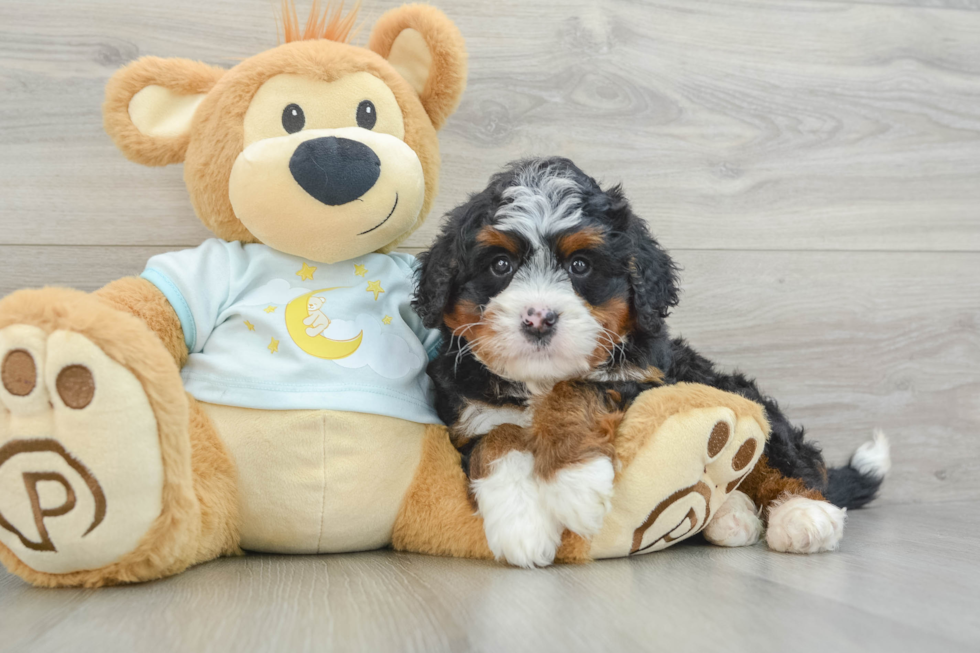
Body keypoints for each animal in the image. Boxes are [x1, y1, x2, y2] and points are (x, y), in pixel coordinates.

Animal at [414, 157, 888, 564]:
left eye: (581, 265)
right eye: (500, 265)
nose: (538, 318)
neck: (539, 382)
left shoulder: (648, 380)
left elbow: (578, 387)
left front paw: (575, 482)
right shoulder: (467, 412)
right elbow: (498, 437)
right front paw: (522, 526)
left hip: (733, 392)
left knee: (790, 461)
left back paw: (803, 514)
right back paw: (732, 515)